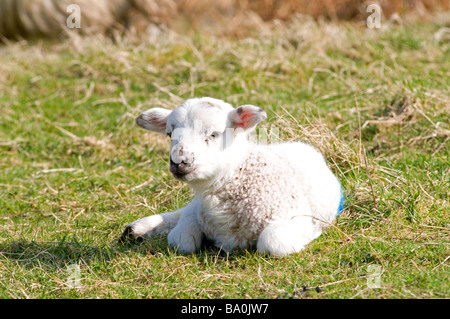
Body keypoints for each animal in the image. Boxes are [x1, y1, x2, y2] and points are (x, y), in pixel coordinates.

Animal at [120, 97, 344, 258]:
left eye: (214, 134)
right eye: (169, 134)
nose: (179, 162)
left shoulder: (294, 216)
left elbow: (272, 243)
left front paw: (312, 233)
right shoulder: (198, 212)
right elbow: (181, 240)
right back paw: (136, 229)